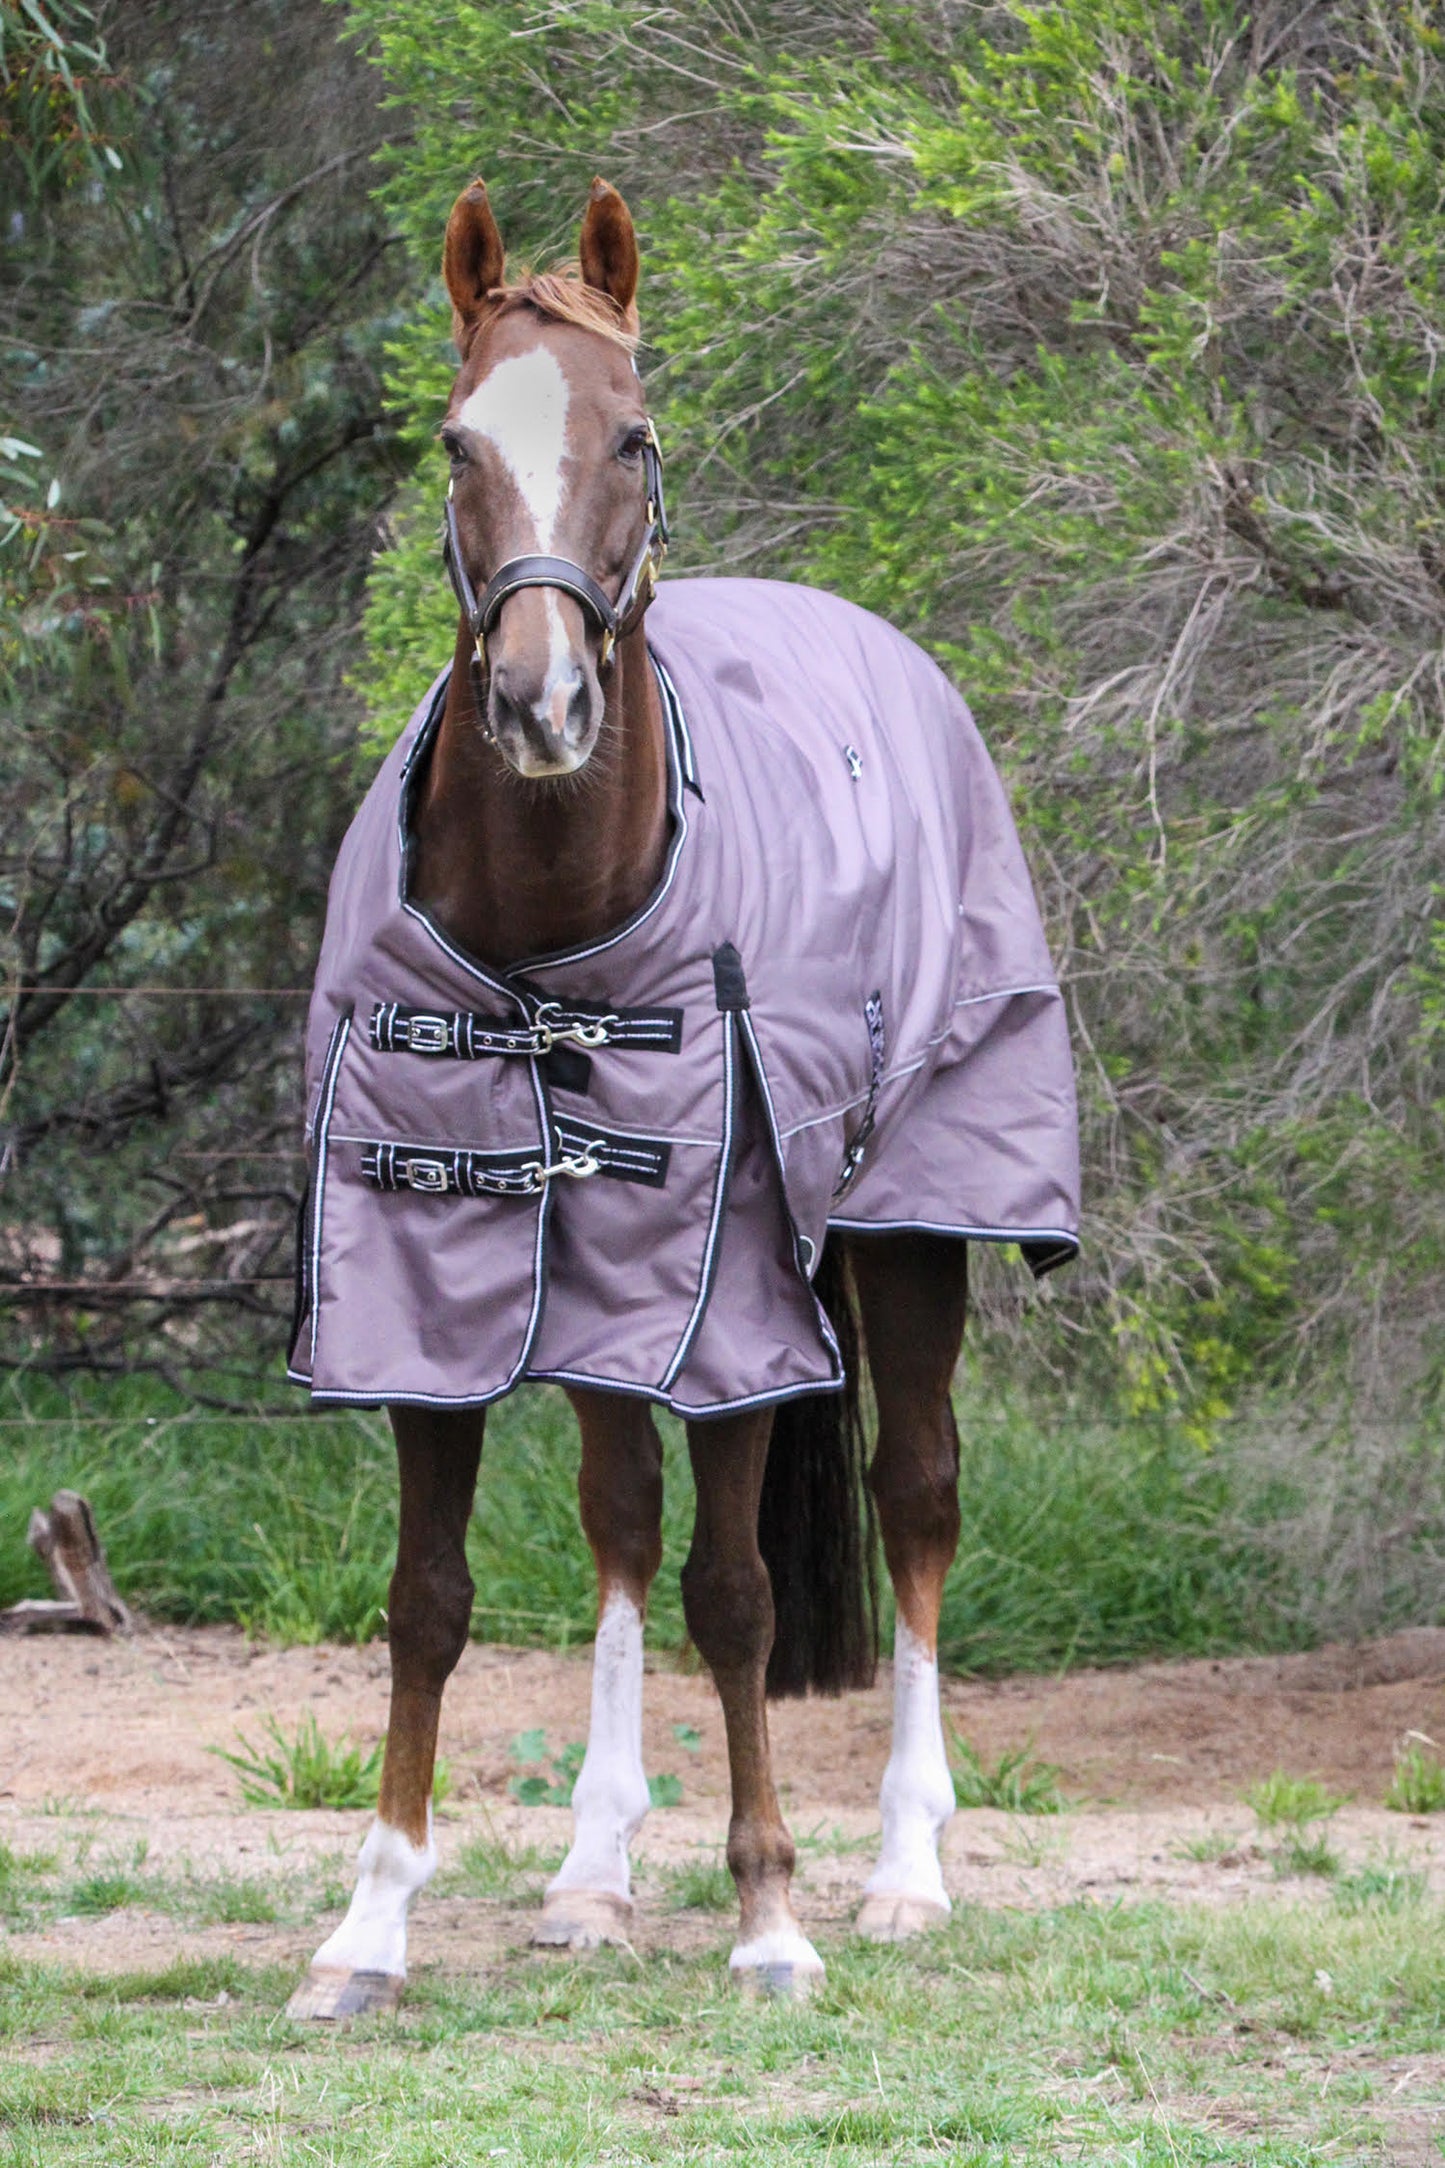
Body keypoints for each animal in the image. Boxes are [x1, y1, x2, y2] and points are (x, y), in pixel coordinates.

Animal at [284, 177, 1078, 2018]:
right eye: (455, 444)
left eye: (632, 435)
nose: (541, 700)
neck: (550, 929)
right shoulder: (435, 1281)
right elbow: (432, 1595)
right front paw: (369, 1927)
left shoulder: (728, 1305)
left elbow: (739, 1594)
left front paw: (771, 1913)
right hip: (602, 1284)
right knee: (619, 1518)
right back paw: (591, 1871)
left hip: (906, 1232)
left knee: (915, 1497)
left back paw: (905, 1867)